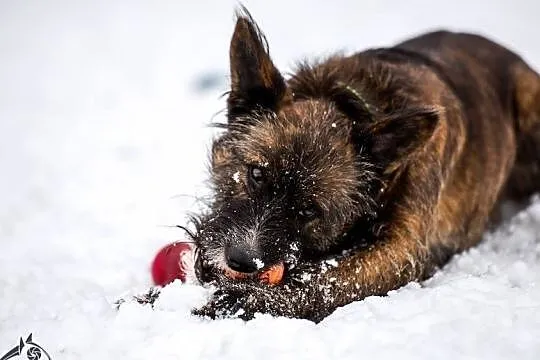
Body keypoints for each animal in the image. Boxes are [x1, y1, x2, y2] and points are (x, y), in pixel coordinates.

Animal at [182, 8, 540, 320]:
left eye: (310, 211)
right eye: (256, 173)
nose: (242, 261)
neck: (351, 103)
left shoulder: (401, 250)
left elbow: (327, 282)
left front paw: (236, 303)